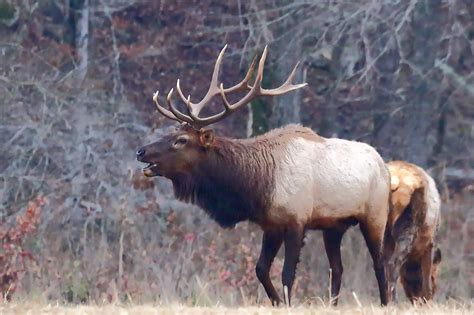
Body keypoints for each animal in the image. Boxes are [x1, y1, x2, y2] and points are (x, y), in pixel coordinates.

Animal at [135, 46, 390, 306]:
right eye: (172, 132)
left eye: (181, 140)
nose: (141, 151)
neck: (257, 186)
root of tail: (384, 164)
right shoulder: (272, 225)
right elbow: (261, 269)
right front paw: (277, 302)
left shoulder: (297, 220)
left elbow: (287, 273)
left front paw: (288, 304)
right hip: (334, 226)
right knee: (337, 268)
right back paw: (333, 305)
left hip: (375, 215)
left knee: (381, 263)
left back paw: (385, 302)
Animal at [384, 162, 442, 304]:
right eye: (434, 278)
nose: (417, 301)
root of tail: (395, 182)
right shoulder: (429, 244)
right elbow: (426, 281)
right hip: (408, 225)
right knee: (393, 263)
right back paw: (394, 301)